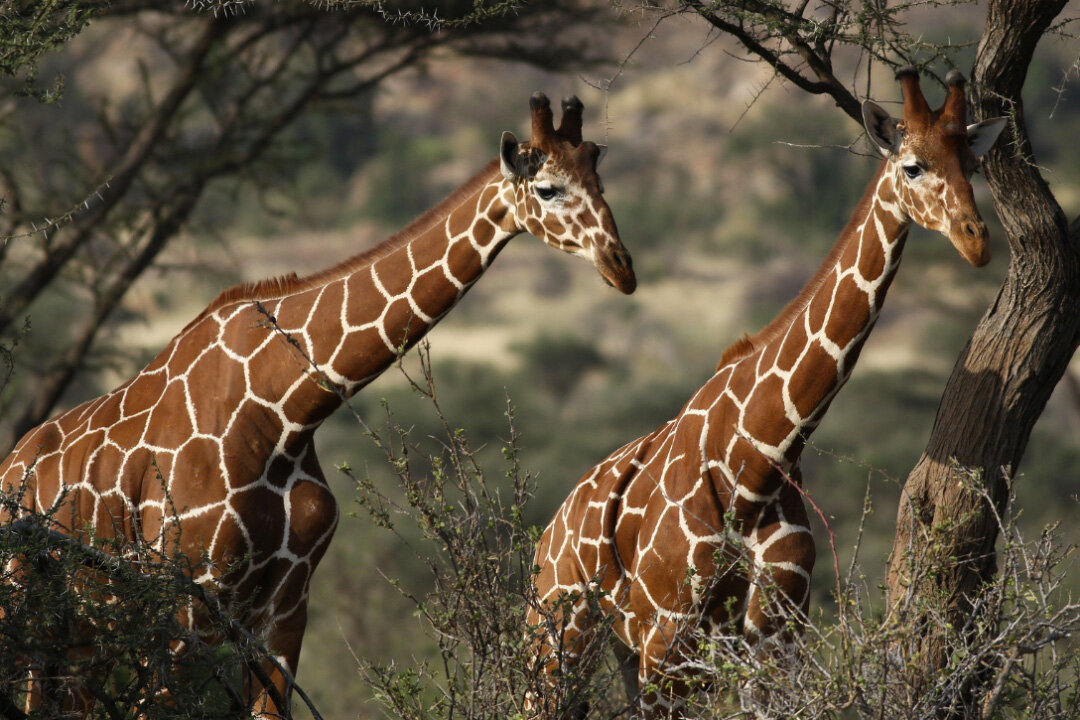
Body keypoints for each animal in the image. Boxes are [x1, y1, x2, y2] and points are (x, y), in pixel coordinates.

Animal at [2, 92, 630, 716]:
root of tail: (14, 461)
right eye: (546, 188)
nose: (621, 267)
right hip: (33, 602)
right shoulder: (187, 597)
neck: (283, 415)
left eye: (599, 179)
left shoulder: (286, 607)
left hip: (84, 629)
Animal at [527, 69, 1006, 720]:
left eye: (972, 163)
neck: (759, 458)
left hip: (623, 648)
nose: (976, 241)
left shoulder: (775, 635)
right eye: (912, 166)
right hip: (559, 635)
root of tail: (549, 533)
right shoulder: (670, 633)